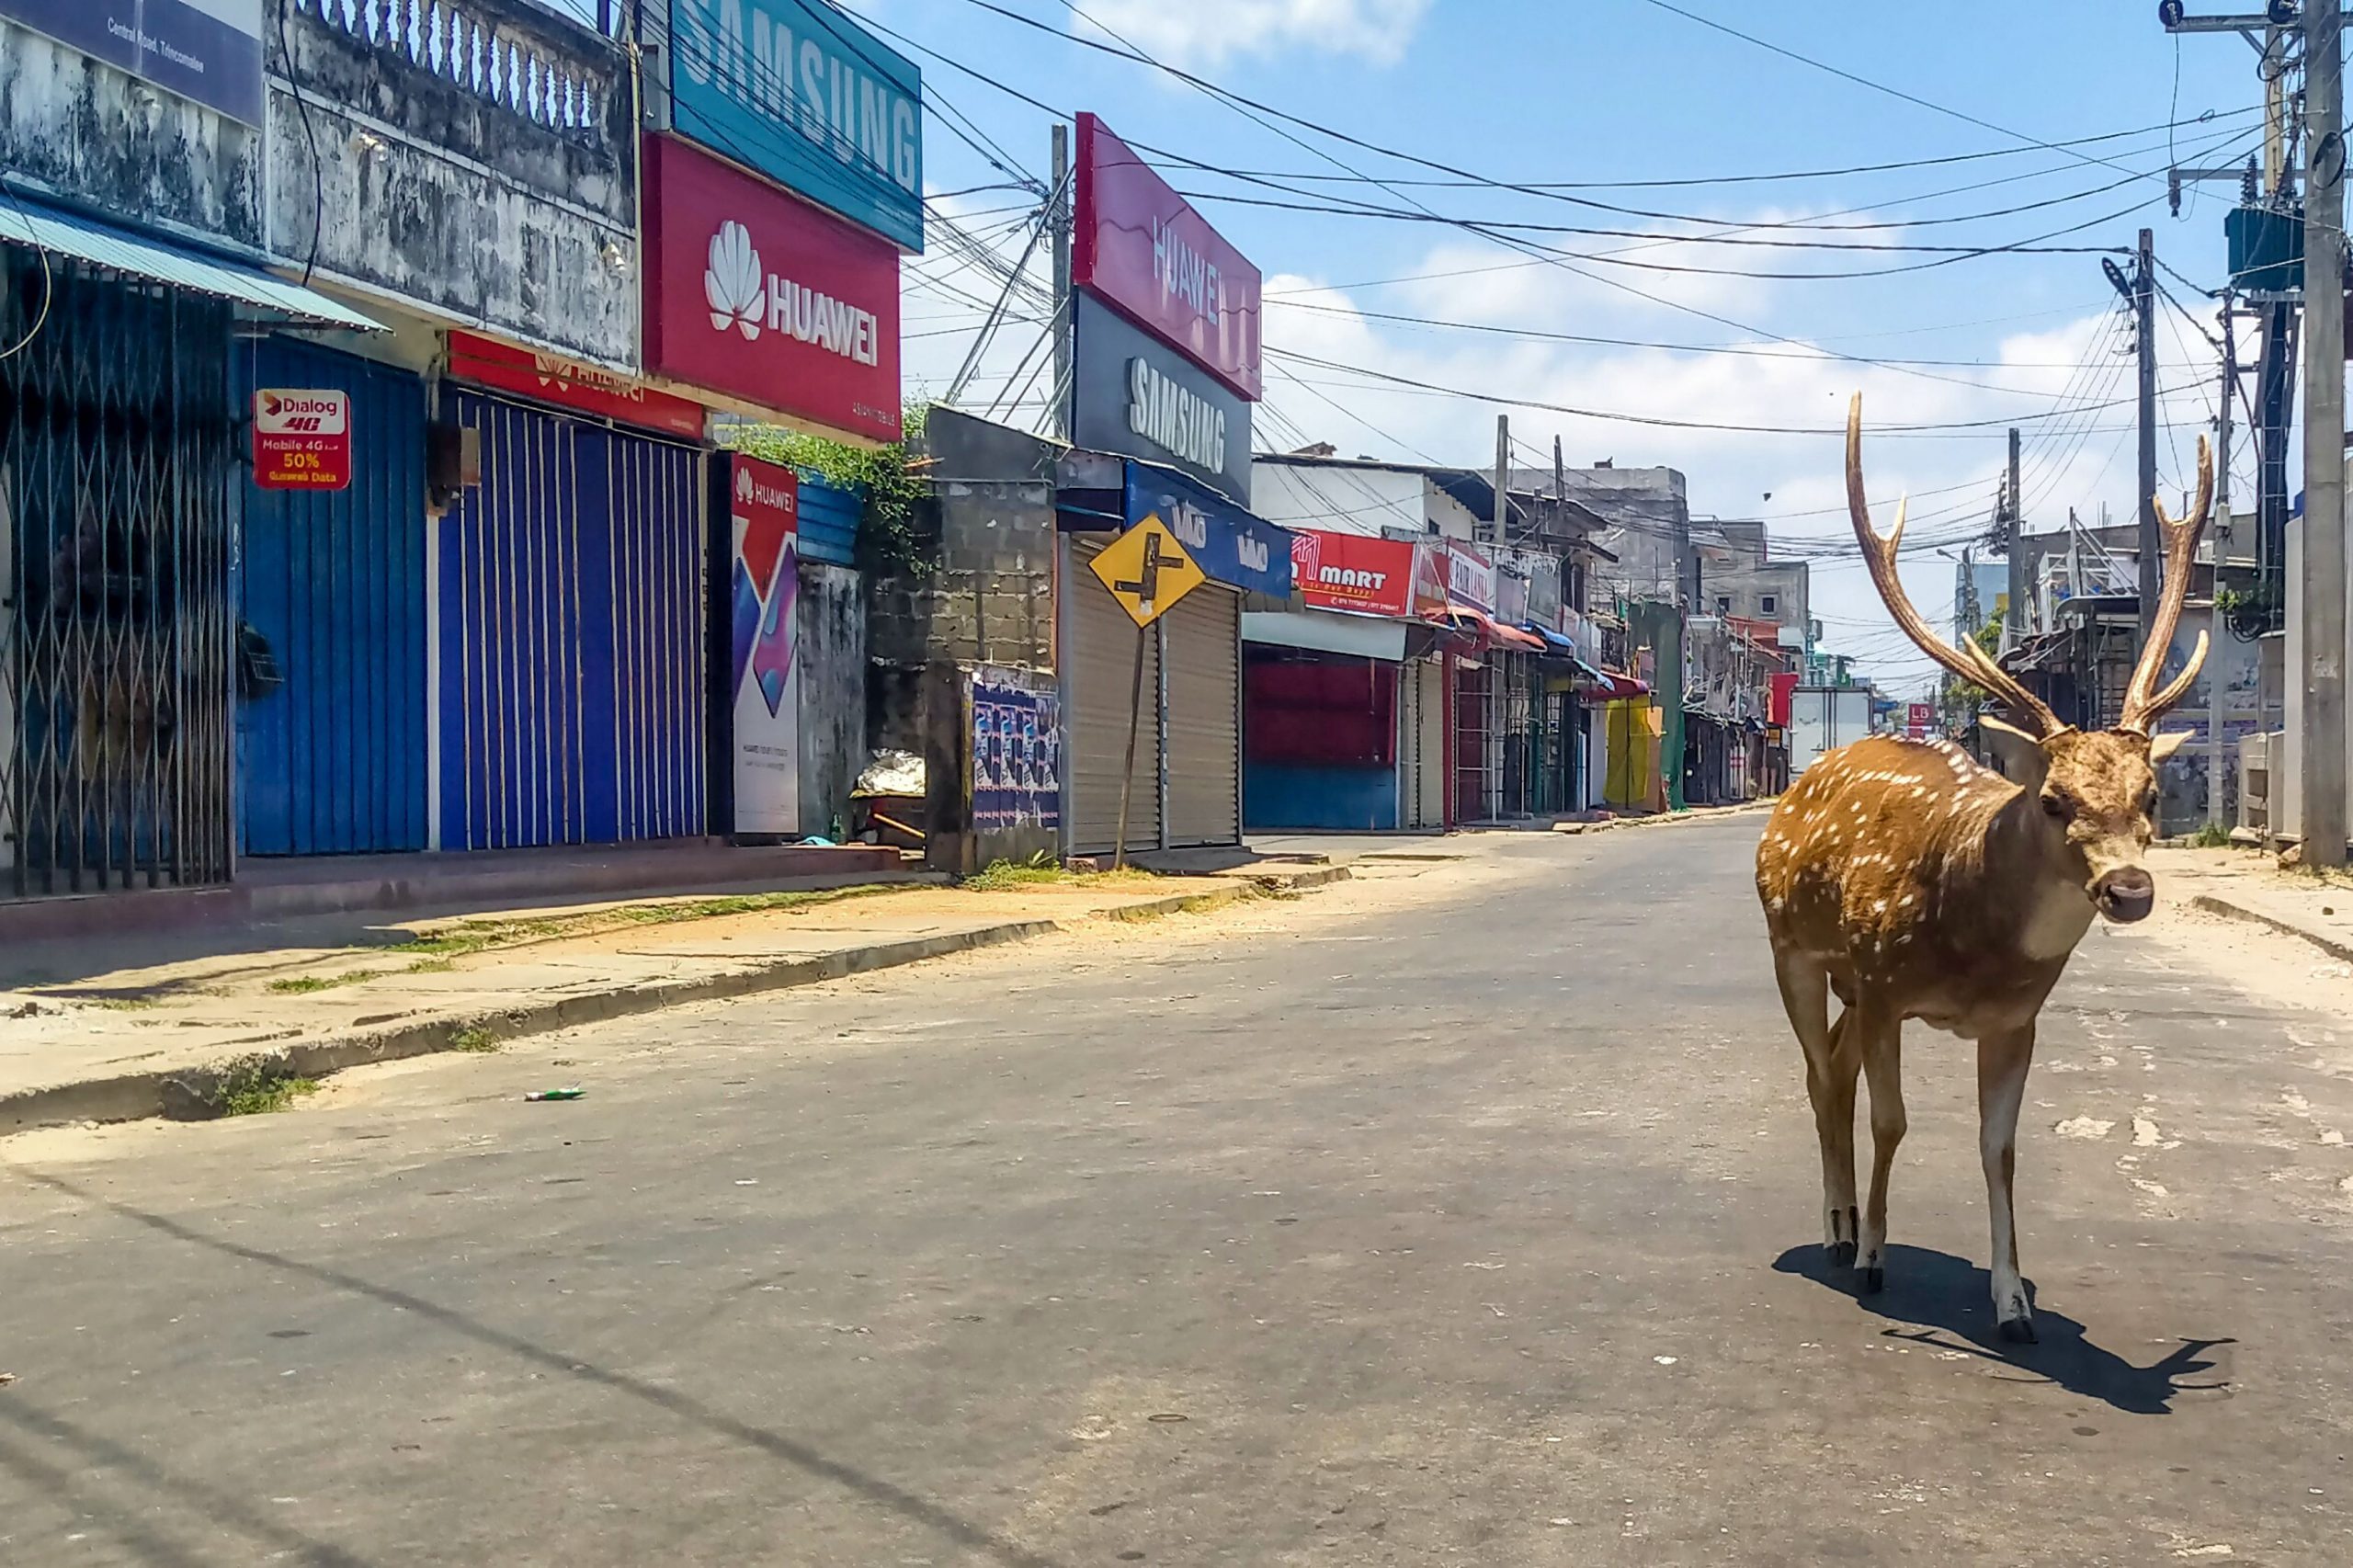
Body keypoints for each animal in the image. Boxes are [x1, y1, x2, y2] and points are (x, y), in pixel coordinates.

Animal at [1769, 397, 2202, 1336]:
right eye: (2053, 800)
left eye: (2151, 795)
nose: (2128, 889)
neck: (1969, 941)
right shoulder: (1885, 985)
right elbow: (1893, 1123)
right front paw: (1876, 1260)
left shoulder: (2015, 1018)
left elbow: (1998, 1148)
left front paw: (2013, 1300)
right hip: (1793, 945)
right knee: (1820, 1072)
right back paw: (1836, 1230)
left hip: (1846, 980)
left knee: (1834, 1066)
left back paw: (1846, 1218)